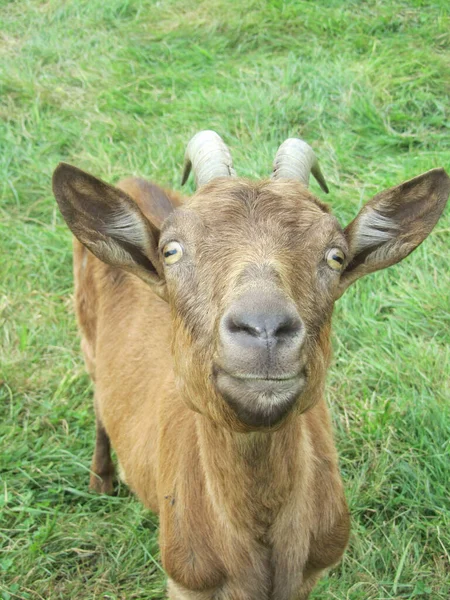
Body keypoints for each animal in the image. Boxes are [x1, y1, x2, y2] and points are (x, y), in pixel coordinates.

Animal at [53, 132, 450, 600]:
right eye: (171, 251)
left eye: (335, 256)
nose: (264, 328)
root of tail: (130, 183)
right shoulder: (186, 581)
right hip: (86, 336)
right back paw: (101, 480)